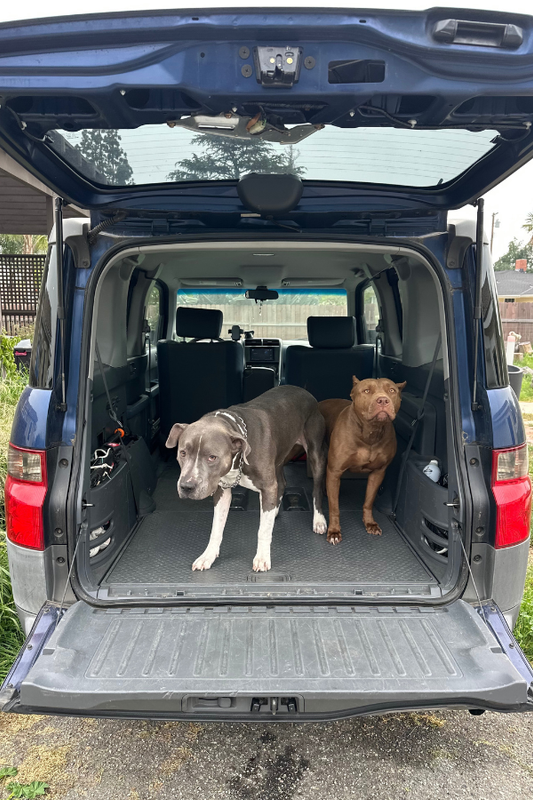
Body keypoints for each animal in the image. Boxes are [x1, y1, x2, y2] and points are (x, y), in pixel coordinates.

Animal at [166, 385, 327, 572]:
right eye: (183, 453)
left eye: (212, 457)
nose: (186, 486)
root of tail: (304, 390)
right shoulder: (222, 491)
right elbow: (216, 528)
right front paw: (208, 556)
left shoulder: (267, 485)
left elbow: (263, 530)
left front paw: (262, 557)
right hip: (279, 457)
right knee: (281, 484)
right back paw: (274, 510)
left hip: (315, 452)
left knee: (316, 488)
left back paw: (318, 520)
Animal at [319, 376, 406, 544]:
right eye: (366, 391)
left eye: (392, 390)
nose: (383, 400)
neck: (370, 432)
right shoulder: (335, 471)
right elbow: (334, 507)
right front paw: (334, 531)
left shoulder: (378, 473)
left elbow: (368, 501)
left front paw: (370, 523)